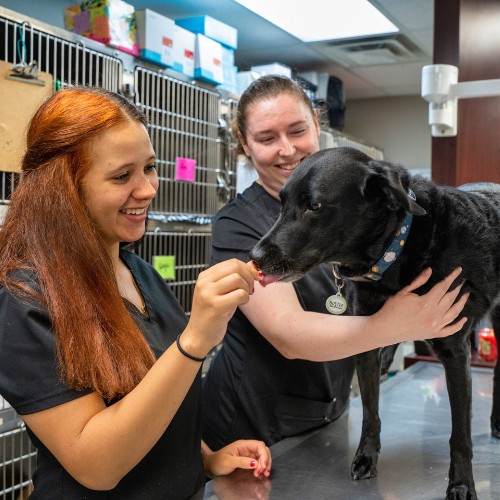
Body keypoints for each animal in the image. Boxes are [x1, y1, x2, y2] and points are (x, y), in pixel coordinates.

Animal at [250, 146, 500, 500]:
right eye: (281, 202)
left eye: (314, 206)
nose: (254, 256)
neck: (397, 249)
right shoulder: (365, 340)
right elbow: (370, 410)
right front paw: (366, 456)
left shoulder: (456, 352)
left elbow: (460, 433)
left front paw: (462, 482)